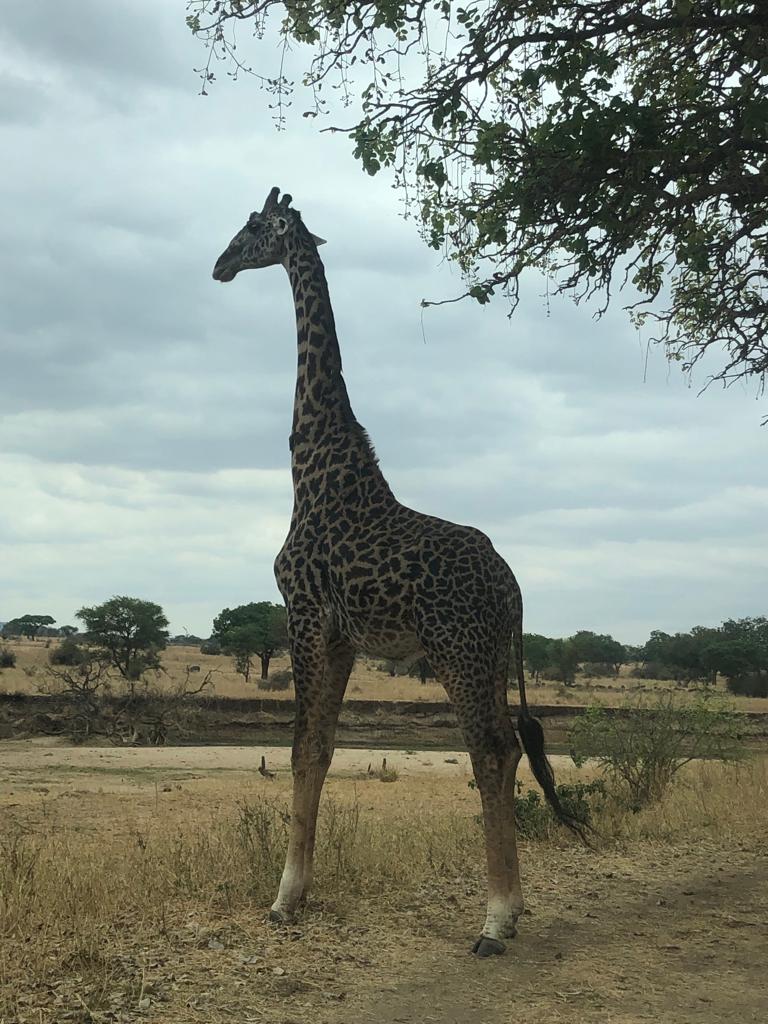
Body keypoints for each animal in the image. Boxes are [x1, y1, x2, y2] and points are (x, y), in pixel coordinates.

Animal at [212, 187, 585, 957]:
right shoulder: (343, 637)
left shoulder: (302, 615)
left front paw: (282, 899)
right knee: (508, 749)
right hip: (488, 656)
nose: (219, 265)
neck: (312, 467)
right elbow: (322, 750)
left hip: (456, 650)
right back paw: (512, 908)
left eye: (253, 227)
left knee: (489, 750)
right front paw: (298, 892)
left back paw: (494, 921)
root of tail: (513, 589)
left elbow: (299, 748)